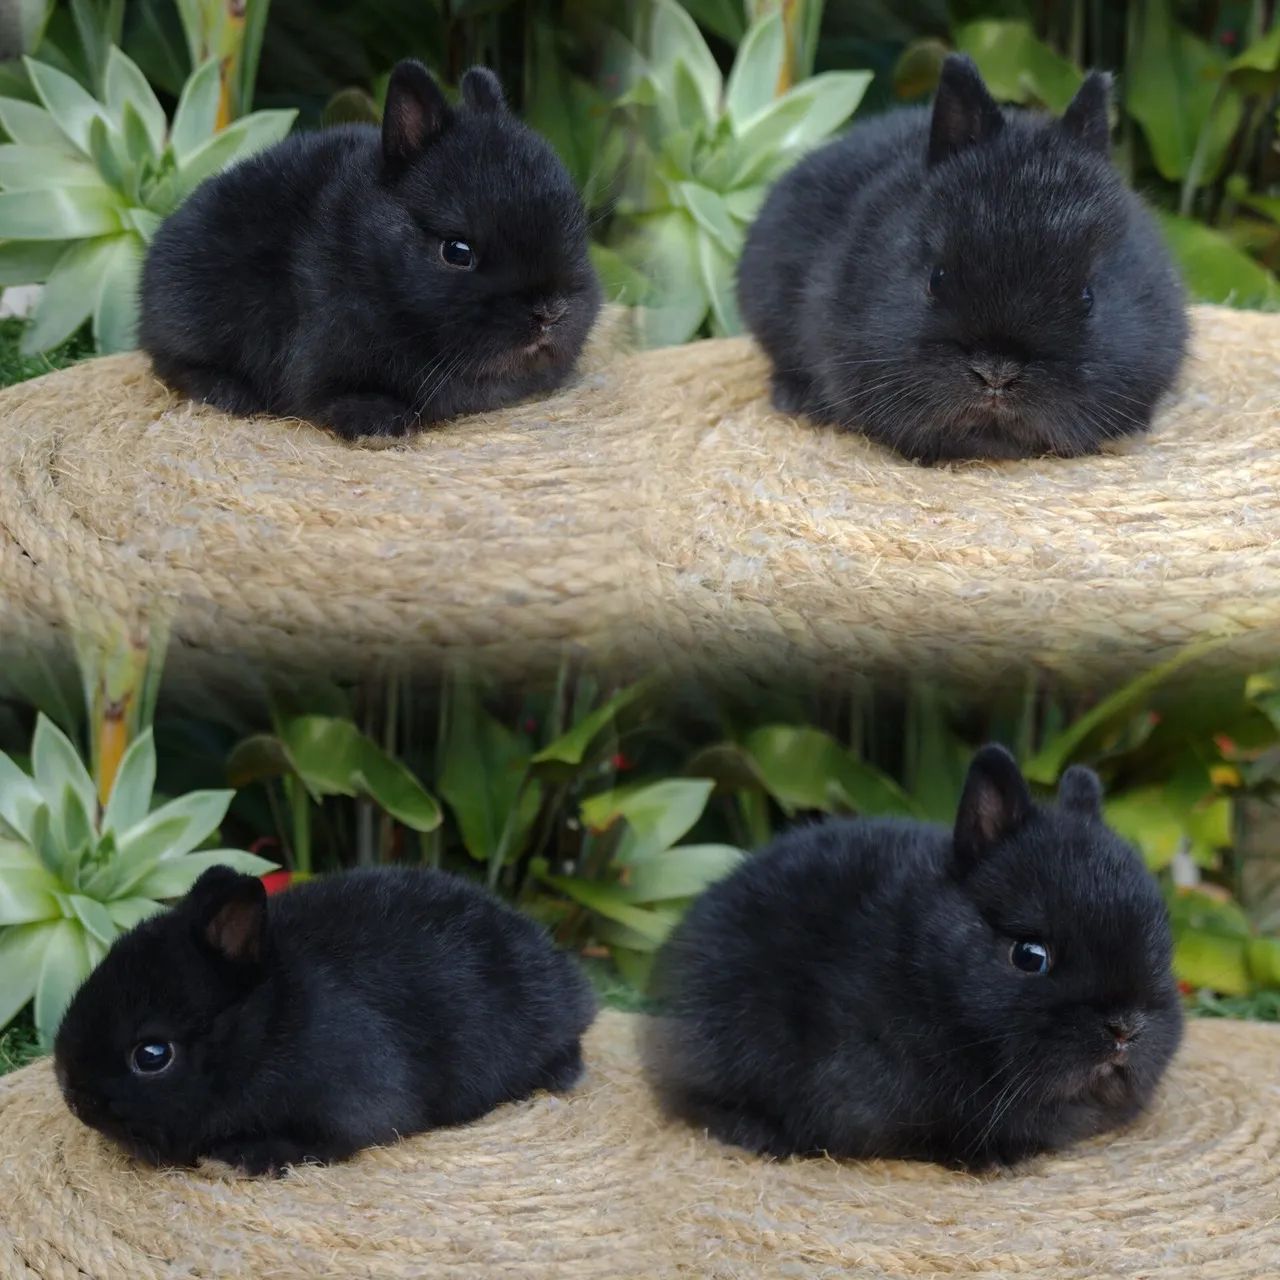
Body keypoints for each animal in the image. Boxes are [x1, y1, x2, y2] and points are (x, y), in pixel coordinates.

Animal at [138, 60, 602, 440]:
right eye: (456, 251)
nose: (549, 312)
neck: (373, 261)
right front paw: (379, 423)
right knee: (171, 361)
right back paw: (232, 394)